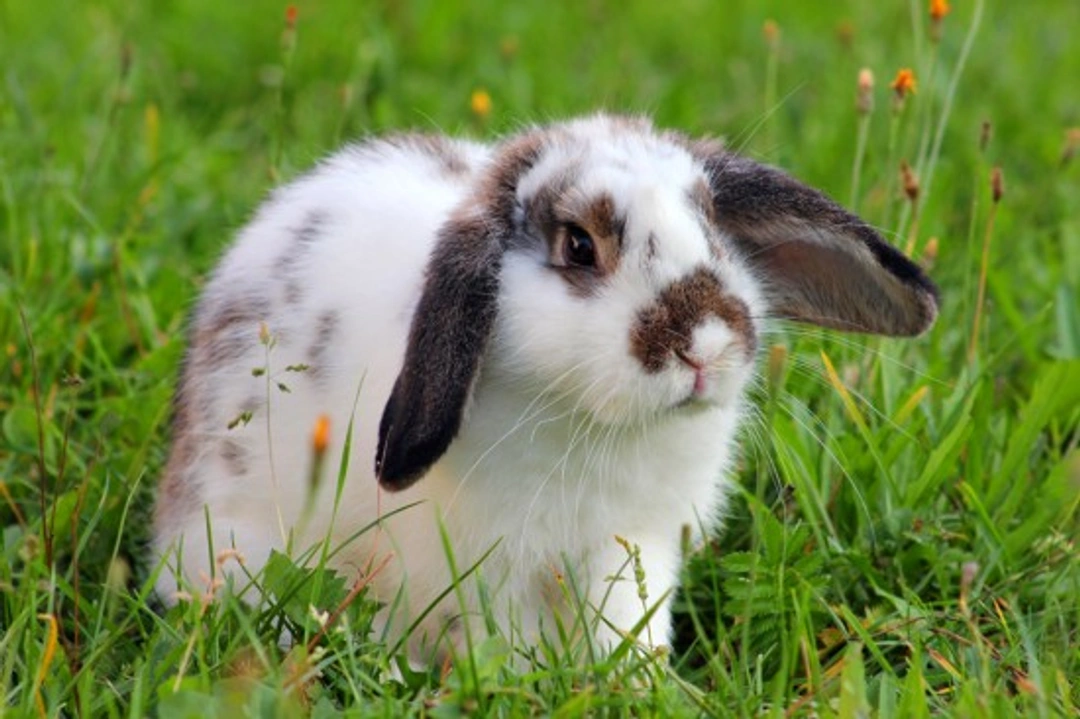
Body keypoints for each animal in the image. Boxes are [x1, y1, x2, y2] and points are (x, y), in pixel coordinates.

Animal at [152, 114, 938, 666]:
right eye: (579, 247)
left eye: (712, 228)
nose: (704, 346)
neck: (596, 424)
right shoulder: (491, 565)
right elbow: (503, 639)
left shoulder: (637, 543)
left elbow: (629, 624)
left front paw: (637, 682)